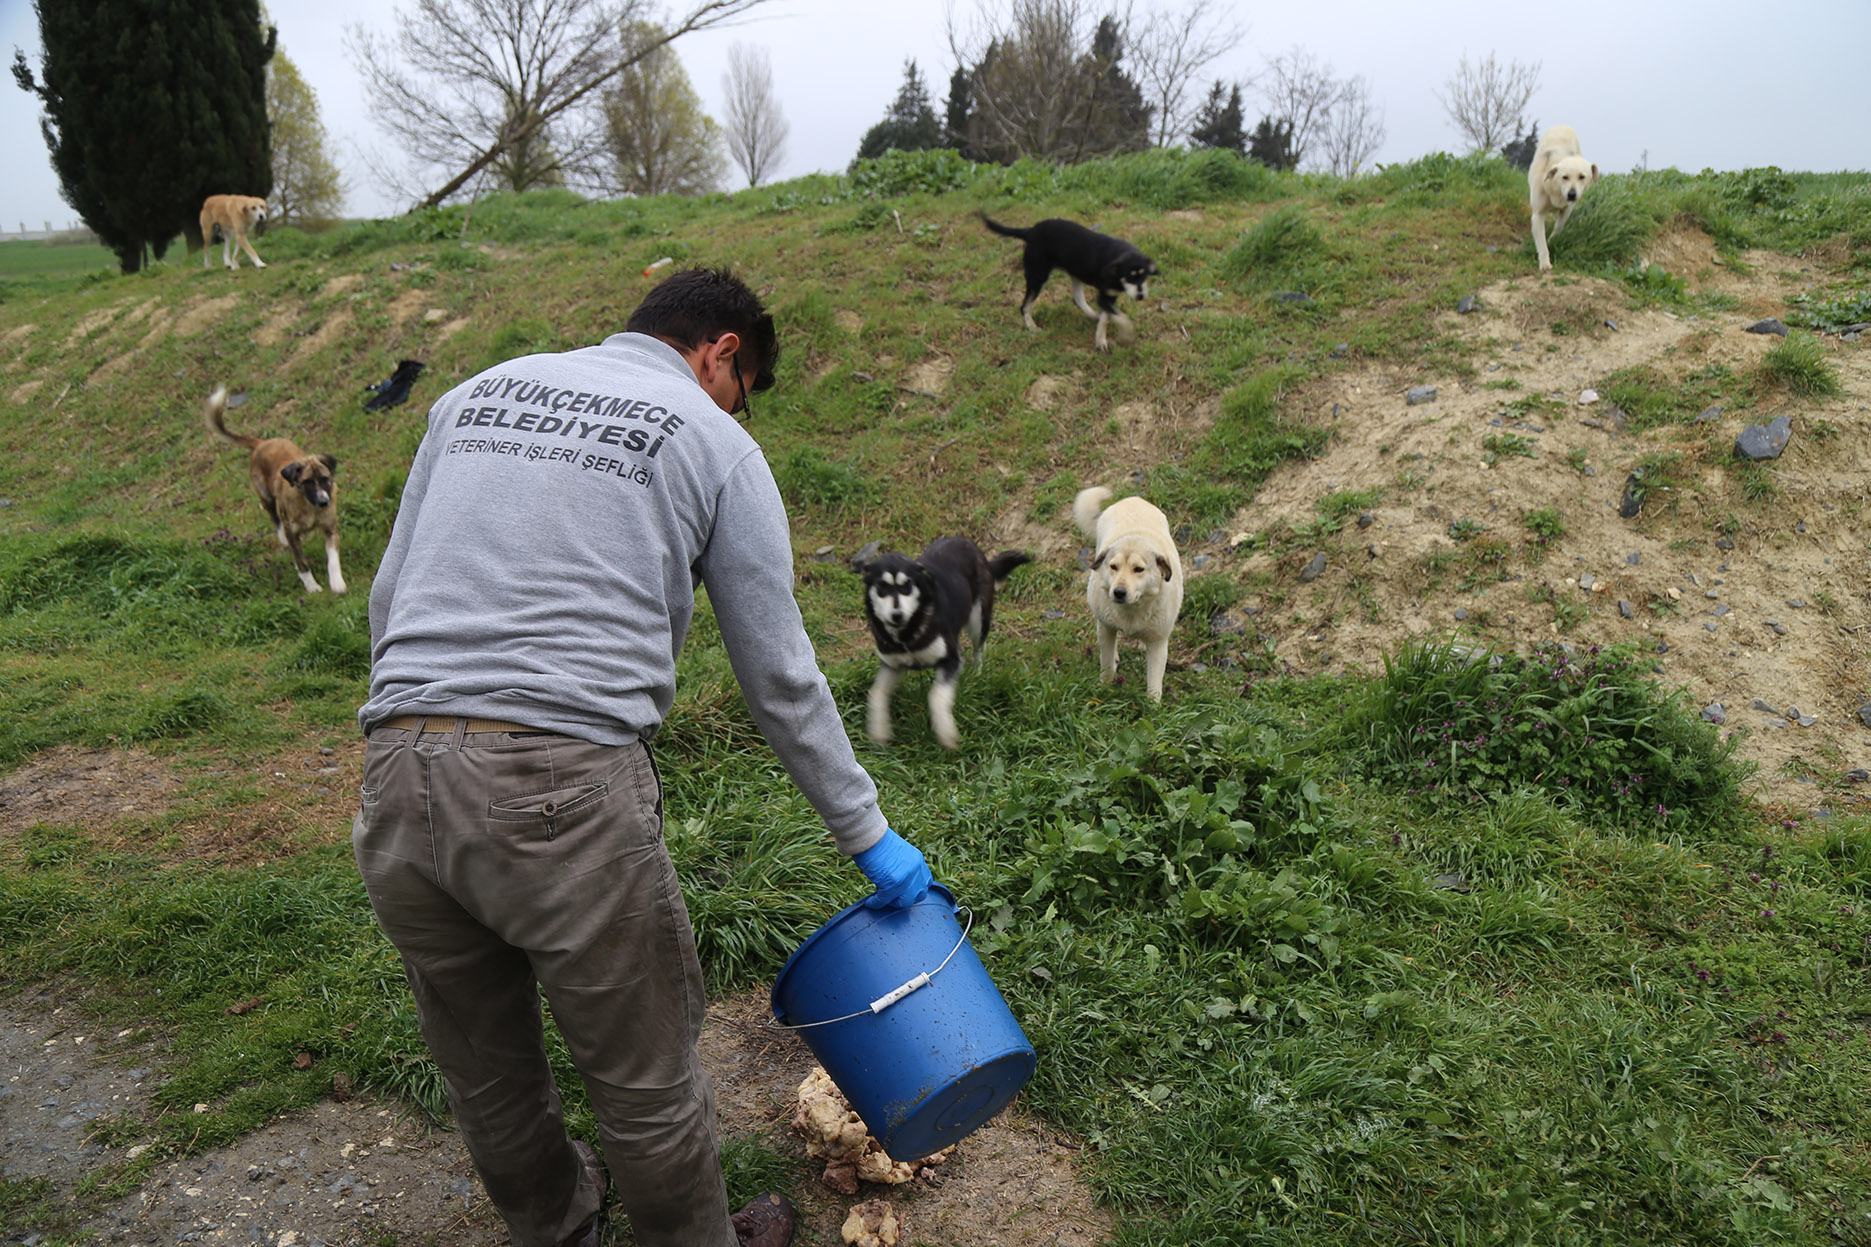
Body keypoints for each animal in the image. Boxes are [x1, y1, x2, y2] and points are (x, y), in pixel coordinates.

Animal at [206, 383, 346, 591]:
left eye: (325, 479)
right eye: (307, 482)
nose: (323, 502)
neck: (308, 506)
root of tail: (261, 443)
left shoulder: (330, 528)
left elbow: (333, 559)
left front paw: (337, 583)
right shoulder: (293, 534)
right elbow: (301, 563)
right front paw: (312, 587)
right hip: (266, 497)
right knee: (274, 517)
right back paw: (281, 537)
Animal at [856, 535, 1032, 748]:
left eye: (906, 586)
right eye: (882, 587)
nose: (897, 615)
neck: (906, 634)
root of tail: (967, 542)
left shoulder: (949, 659)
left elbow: (937, 695)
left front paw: (946, 732)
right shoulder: (892, 665)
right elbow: (876, 693)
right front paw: (879, 730)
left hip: (978, 620)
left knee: (978, 648)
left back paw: (977, 672)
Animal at [980, 211, 1152, 352]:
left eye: (1144, 276)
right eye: (1130, 276)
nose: (1141, 296)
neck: (1118, 256)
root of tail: (1030, 231)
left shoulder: (1109, 296)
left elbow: (1107, 317)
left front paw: (1100, 339)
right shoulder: (1105, 296)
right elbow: (1122, 318)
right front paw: (1125, 335)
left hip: (1074, 274)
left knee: (1077, 298)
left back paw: (1092, 315)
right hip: (1038, 276)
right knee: (1024, 306)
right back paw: (1032, 327)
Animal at [1077, 483, 1174, 700]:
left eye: (1138, 569)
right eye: (1113, 566)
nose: (1119, 592)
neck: (1132, 610)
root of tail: (1133, 499)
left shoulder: (1159, 642)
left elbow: (1154, 683)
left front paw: (1152, 705)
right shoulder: (1106, 627)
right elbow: (1106, 665)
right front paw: (1104, 688)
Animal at [1526, 126, 1601, 271]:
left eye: (1582, 177)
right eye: (1564, 177)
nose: (1571, 194)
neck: (1556, 191)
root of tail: (1563, 125)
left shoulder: (1567, 210)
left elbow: (1558, 227)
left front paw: (1552, 240)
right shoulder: (1538, 214)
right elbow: (1542, 243)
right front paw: (1545, 264)